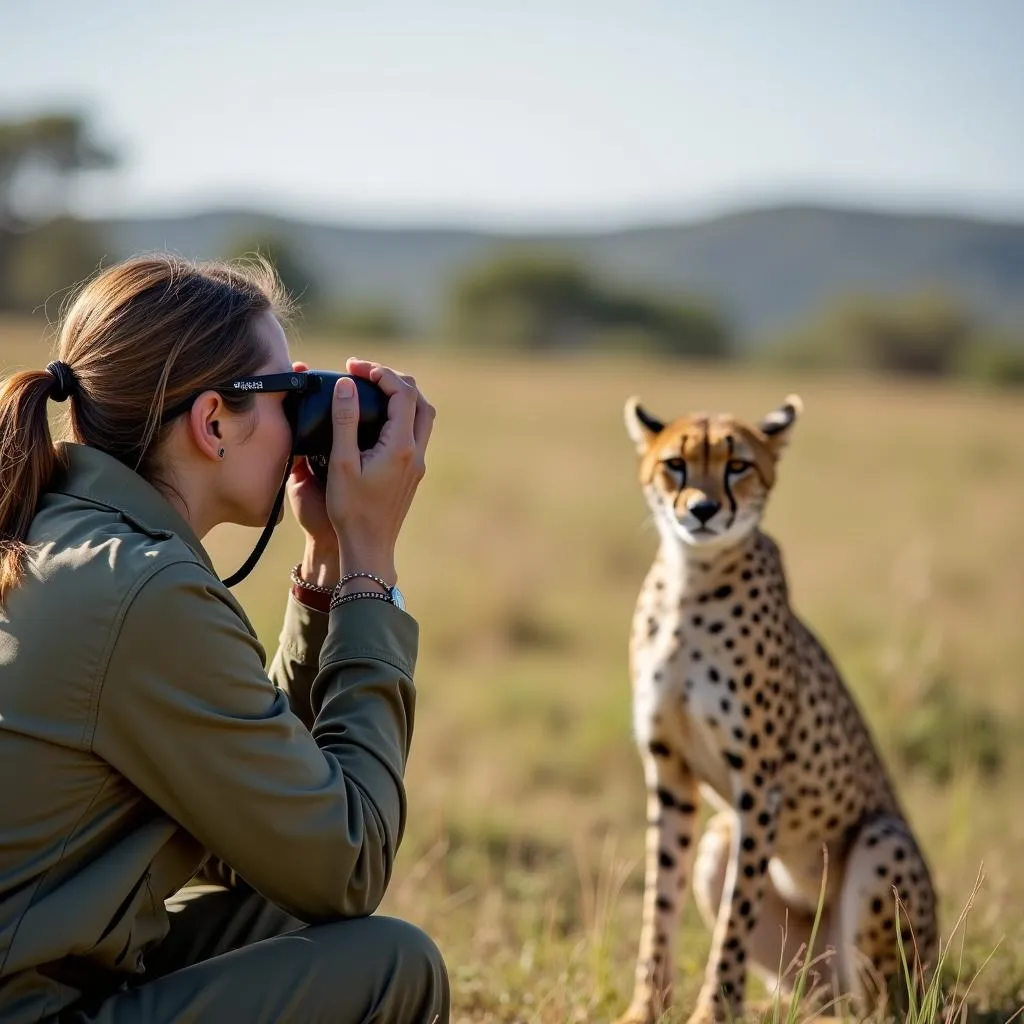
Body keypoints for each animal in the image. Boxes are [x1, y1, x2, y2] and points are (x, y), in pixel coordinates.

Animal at [610, 393, 937, 1024]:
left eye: (738, 465)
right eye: (675, 465)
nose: (703, 509)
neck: (692, 583)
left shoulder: (759, 785)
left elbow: (734, 918)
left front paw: (712, 1013)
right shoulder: (670, 771)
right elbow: (659, 901)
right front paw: (644, 1008)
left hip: (883, 847)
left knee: (877, 1006)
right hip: (727, 852)